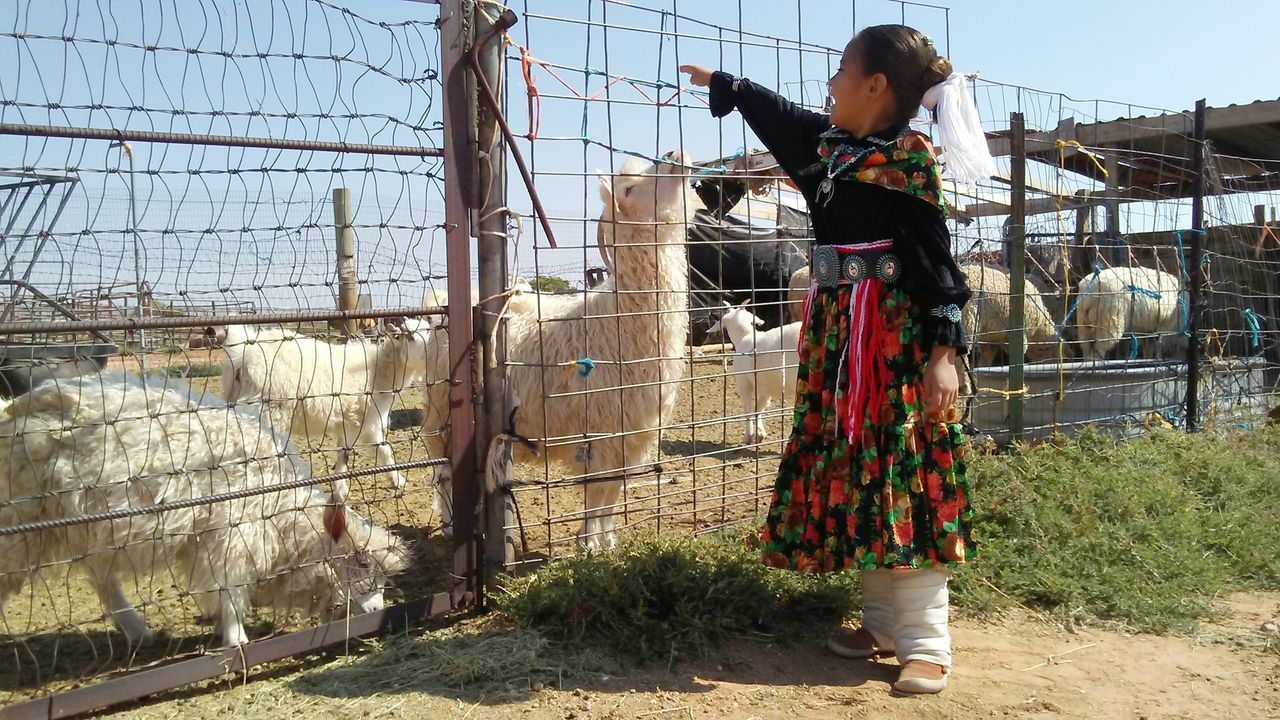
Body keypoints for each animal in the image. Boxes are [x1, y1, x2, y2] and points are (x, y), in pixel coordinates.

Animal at [0, 368, 407, 645]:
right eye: (362, 563)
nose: (378, 611)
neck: (280, 513)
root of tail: (13, 411)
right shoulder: (229, 537)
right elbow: (228, 590)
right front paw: (237, 638)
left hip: (90, 529)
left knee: (104, 581)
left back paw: (138, 631)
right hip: (22, 525)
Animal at [218, 316, 435, 502]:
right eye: (411, 336)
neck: (380, 369)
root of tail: (242, 357)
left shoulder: (352, 423)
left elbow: (350, 454)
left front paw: (342, 489)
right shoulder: (361, 421)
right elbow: (376, 452)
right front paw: (396, 481)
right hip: (267, 413)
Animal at [499, 149, 696, 543]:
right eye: (629, 188)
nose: (674, 154)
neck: (618, 318)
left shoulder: (628, 435)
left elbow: (611, 491)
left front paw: (607, 540)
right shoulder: (601, 431)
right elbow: (597, 490)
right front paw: (589, 543)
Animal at [706, 297, 793, 443]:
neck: (746, 335)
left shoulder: (743, 382)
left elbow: (748, 408)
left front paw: (749, 435)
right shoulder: (764, 386)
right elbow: (759, 407)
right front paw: (760, 433)